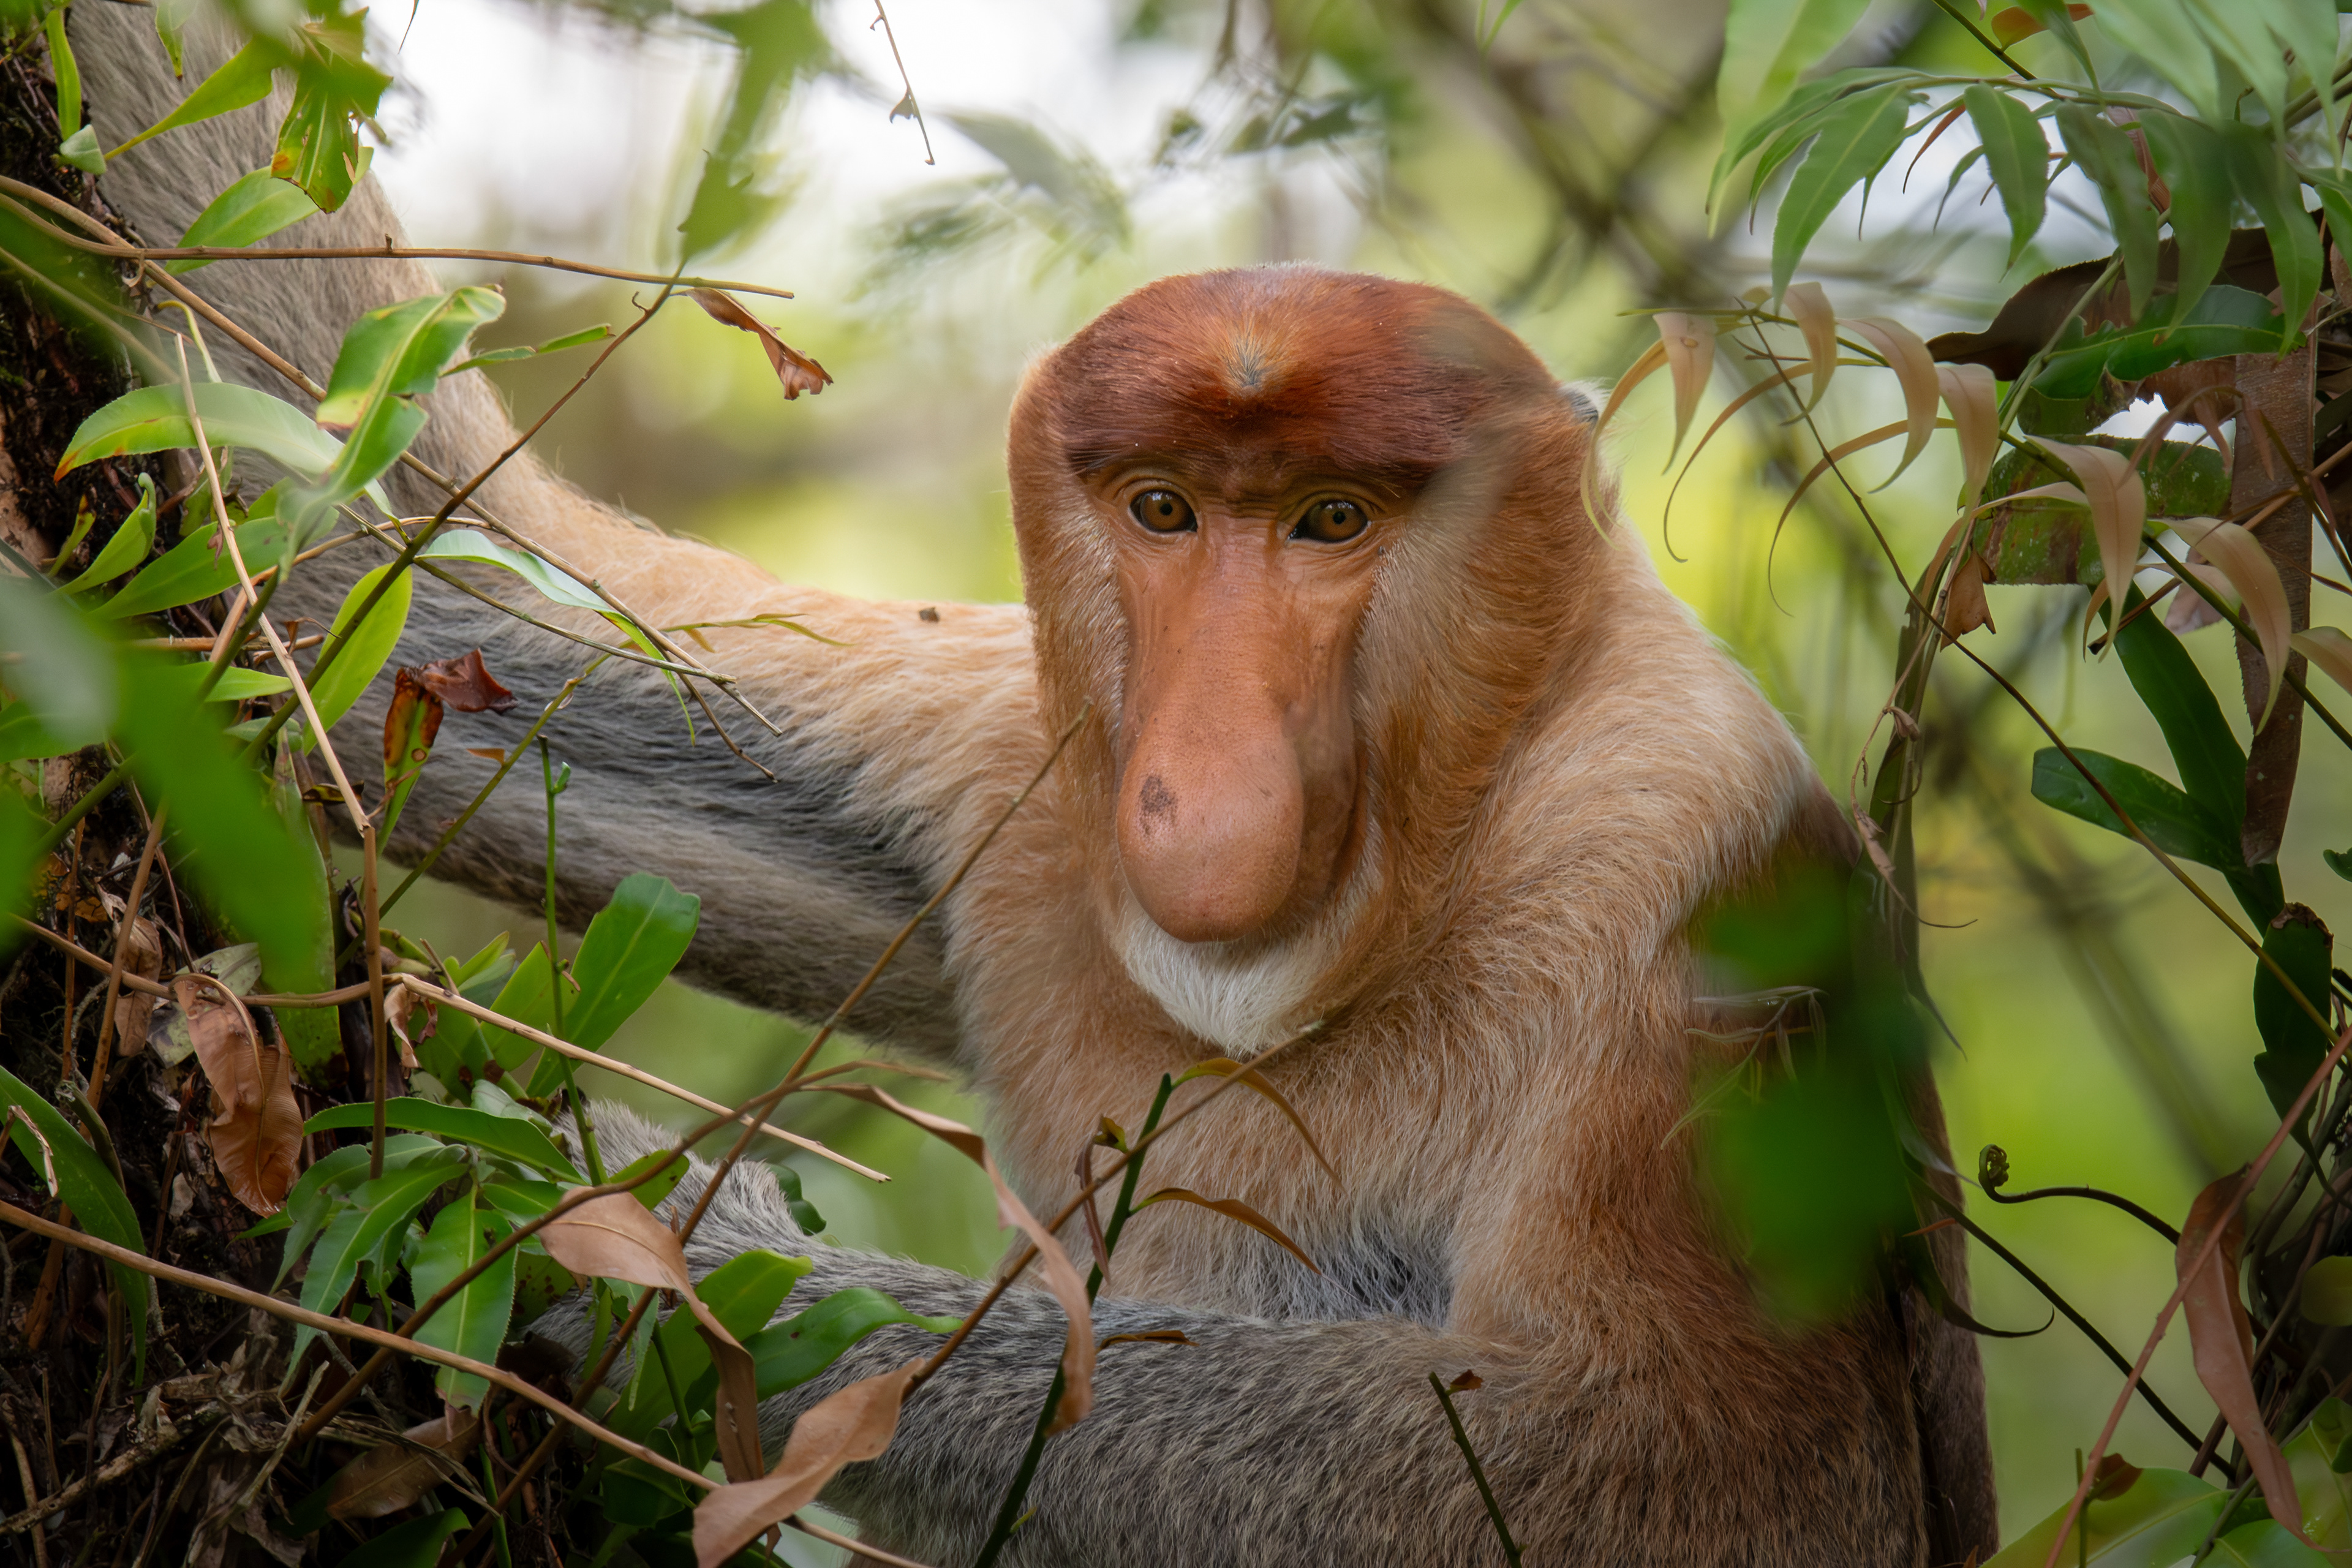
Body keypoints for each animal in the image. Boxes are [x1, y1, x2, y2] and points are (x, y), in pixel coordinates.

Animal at [69, 10, 1996, 1564]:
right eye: (1161, 510)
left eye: (1333, 522)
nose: (1192, 791)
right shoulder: (1009, 751)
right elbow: (406, 584)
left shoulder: (1680, 853)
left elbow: (1673, 1467)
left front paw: (648, 1244)